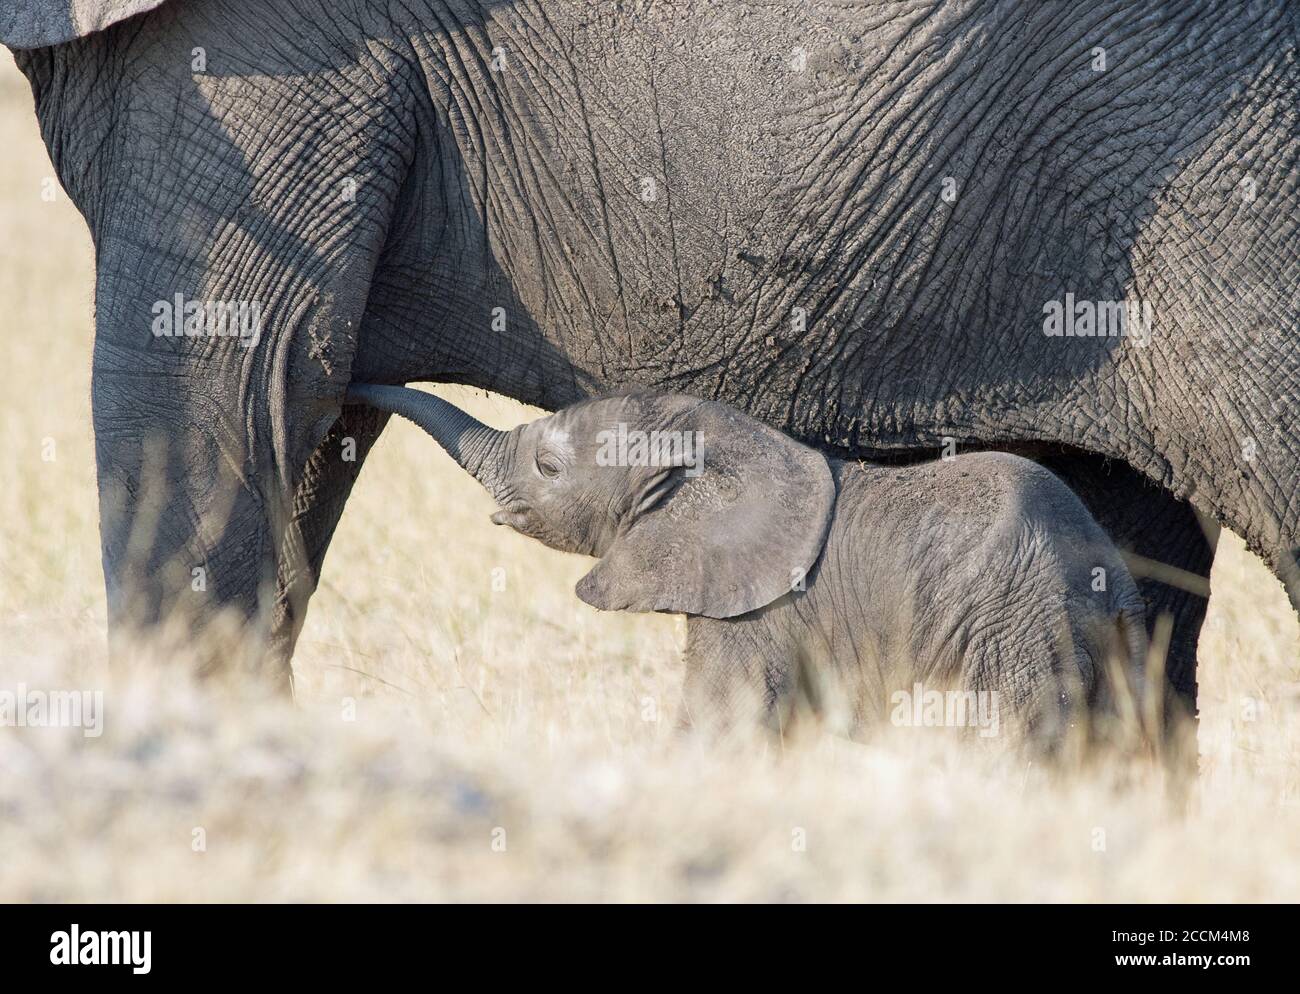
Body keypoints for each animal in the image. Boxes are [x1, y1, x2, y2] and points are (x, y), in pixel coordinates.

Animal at [348, 384, 1149, 743]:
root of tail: (1108, 579)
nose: (350, 379)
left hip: (1019, 625)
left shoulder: (757, 606)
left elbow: (721, 714)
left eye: (548, 466)